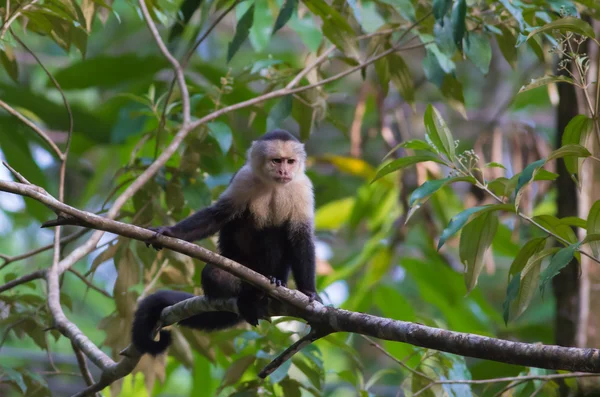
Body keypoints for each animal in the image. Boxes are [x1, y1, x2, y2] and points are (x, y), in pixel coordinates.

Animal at [129, 129, 322, 356]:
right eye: (277, 161)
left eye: (290, 161)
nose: (284, 171)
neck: (274, 185)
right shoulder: (244, 178)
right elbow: (218, 216)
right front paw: (169, 231)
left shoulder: (303, 187)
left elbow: (301, 237)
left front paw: (309, 292)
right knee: (214, 274)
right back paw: (250, 297)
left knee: (274, 235)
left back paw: (273, 283)